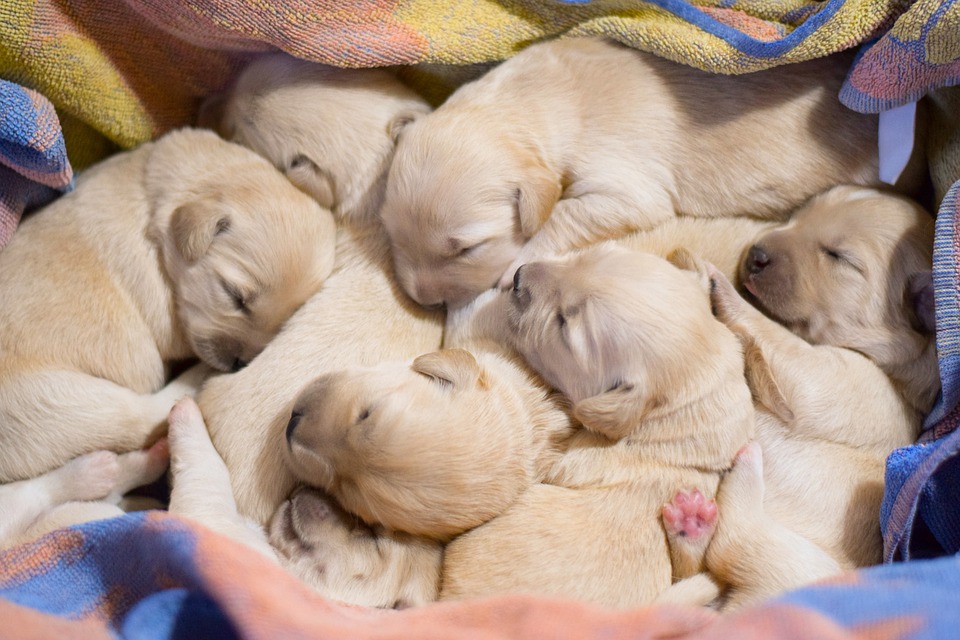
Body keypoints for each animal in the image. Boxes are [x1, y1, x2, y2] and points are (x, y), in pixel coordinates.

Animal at [380, 36, 876, 308]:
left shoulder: (624, 183)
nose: (424, 301)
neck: (532, 101)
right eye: (390, 234)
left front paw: (519, 263)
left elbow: (568, 213)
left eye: (468, 249)